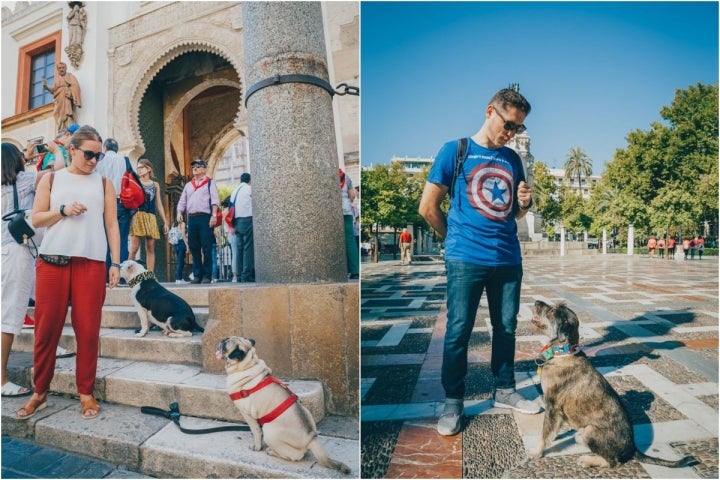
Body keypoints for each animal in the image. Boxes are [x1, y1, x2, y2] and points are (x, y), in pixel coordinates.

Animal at [217, 336, 352, 474]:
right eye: (226, 339)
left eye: (226, 345)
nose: (222, 340)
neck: (248, 364)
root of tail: (311, 438)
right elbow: (257, 429)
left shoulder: (247, 413)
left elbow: (256, 430)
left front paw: (257, 446)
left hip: (270, 431)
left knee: (295, 456)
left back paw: (271, 451)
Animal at [532, 300, 696, 468]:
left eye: (552, 311)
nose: (537, 301)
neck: (562, 352)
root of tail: (632, 448)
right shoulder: (556, 411)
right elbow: (552, 429)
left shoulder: (552, 405)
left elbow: (544, 434)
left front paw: (537, 452)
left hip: (591, 431)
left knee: (613, 462)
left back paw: (588, 459)